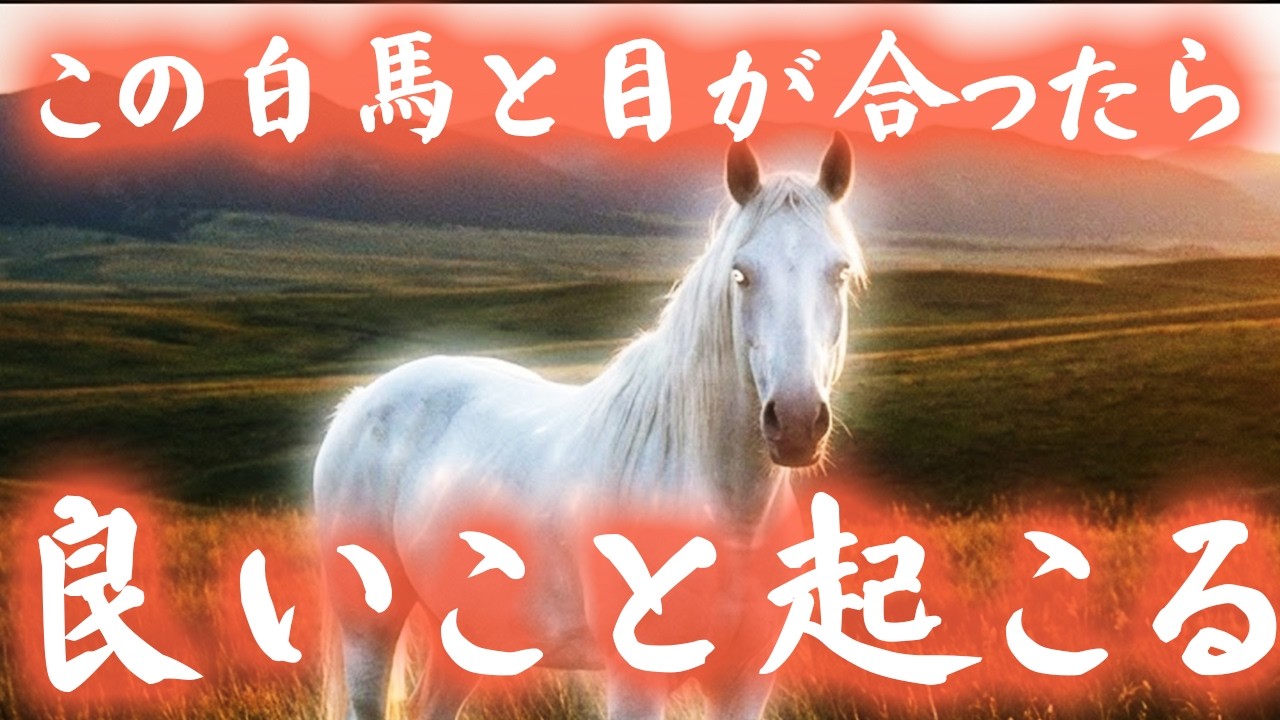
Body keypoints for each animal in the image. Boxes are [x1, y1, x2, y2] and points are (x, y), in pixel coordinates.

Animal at [313, 132, 866, 720]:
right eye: (741, 273)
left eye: (839, 272)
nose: (797, 421)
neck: (731, 518)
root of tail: (363, 399)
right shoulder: (635, 679)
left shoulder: (744, 681)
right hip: (368, 625)